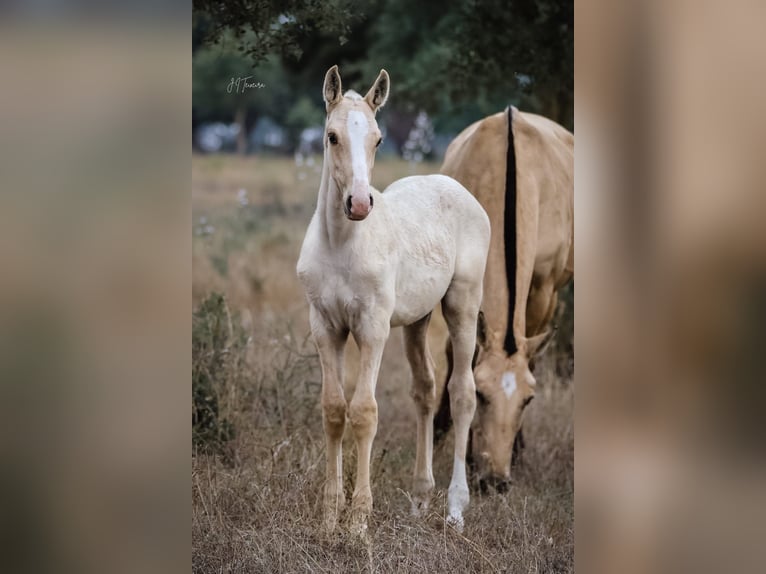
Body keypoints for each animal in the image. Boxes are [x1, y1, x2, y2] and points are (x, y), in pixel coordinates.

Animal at [296, 66, 488, 536]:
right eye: (331, 136)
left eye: (378, 139)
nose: (359, 203)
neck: (342, 244)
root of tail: (455, 186)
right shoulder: (324, 326)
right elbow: (333, 410)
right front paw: (329, 517)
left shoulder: (372, 328)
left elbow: (364, 411)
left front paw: (357, 521)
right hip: (417, 320)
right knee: (425, 390)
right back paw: (420, 498)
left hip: (463, 304)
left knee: (462, 393)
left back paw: (455, 508)